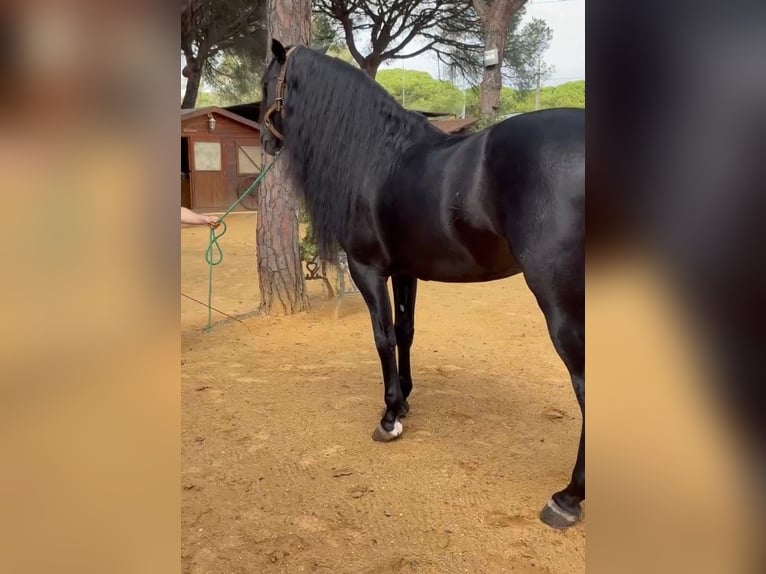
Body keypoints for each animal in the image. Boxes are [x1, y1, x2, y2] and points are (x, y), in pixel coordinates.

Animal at [259, 39, 585, 530]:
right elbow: (406, 331)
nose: (262, 142)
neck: (375, 156)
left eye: (266, 83)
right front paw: (406, 400)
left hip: (561, 303)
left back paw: (567, 498)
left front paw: (390, 416)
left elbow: (383, 337)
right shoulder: (405, 270)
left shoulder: (368, 269)